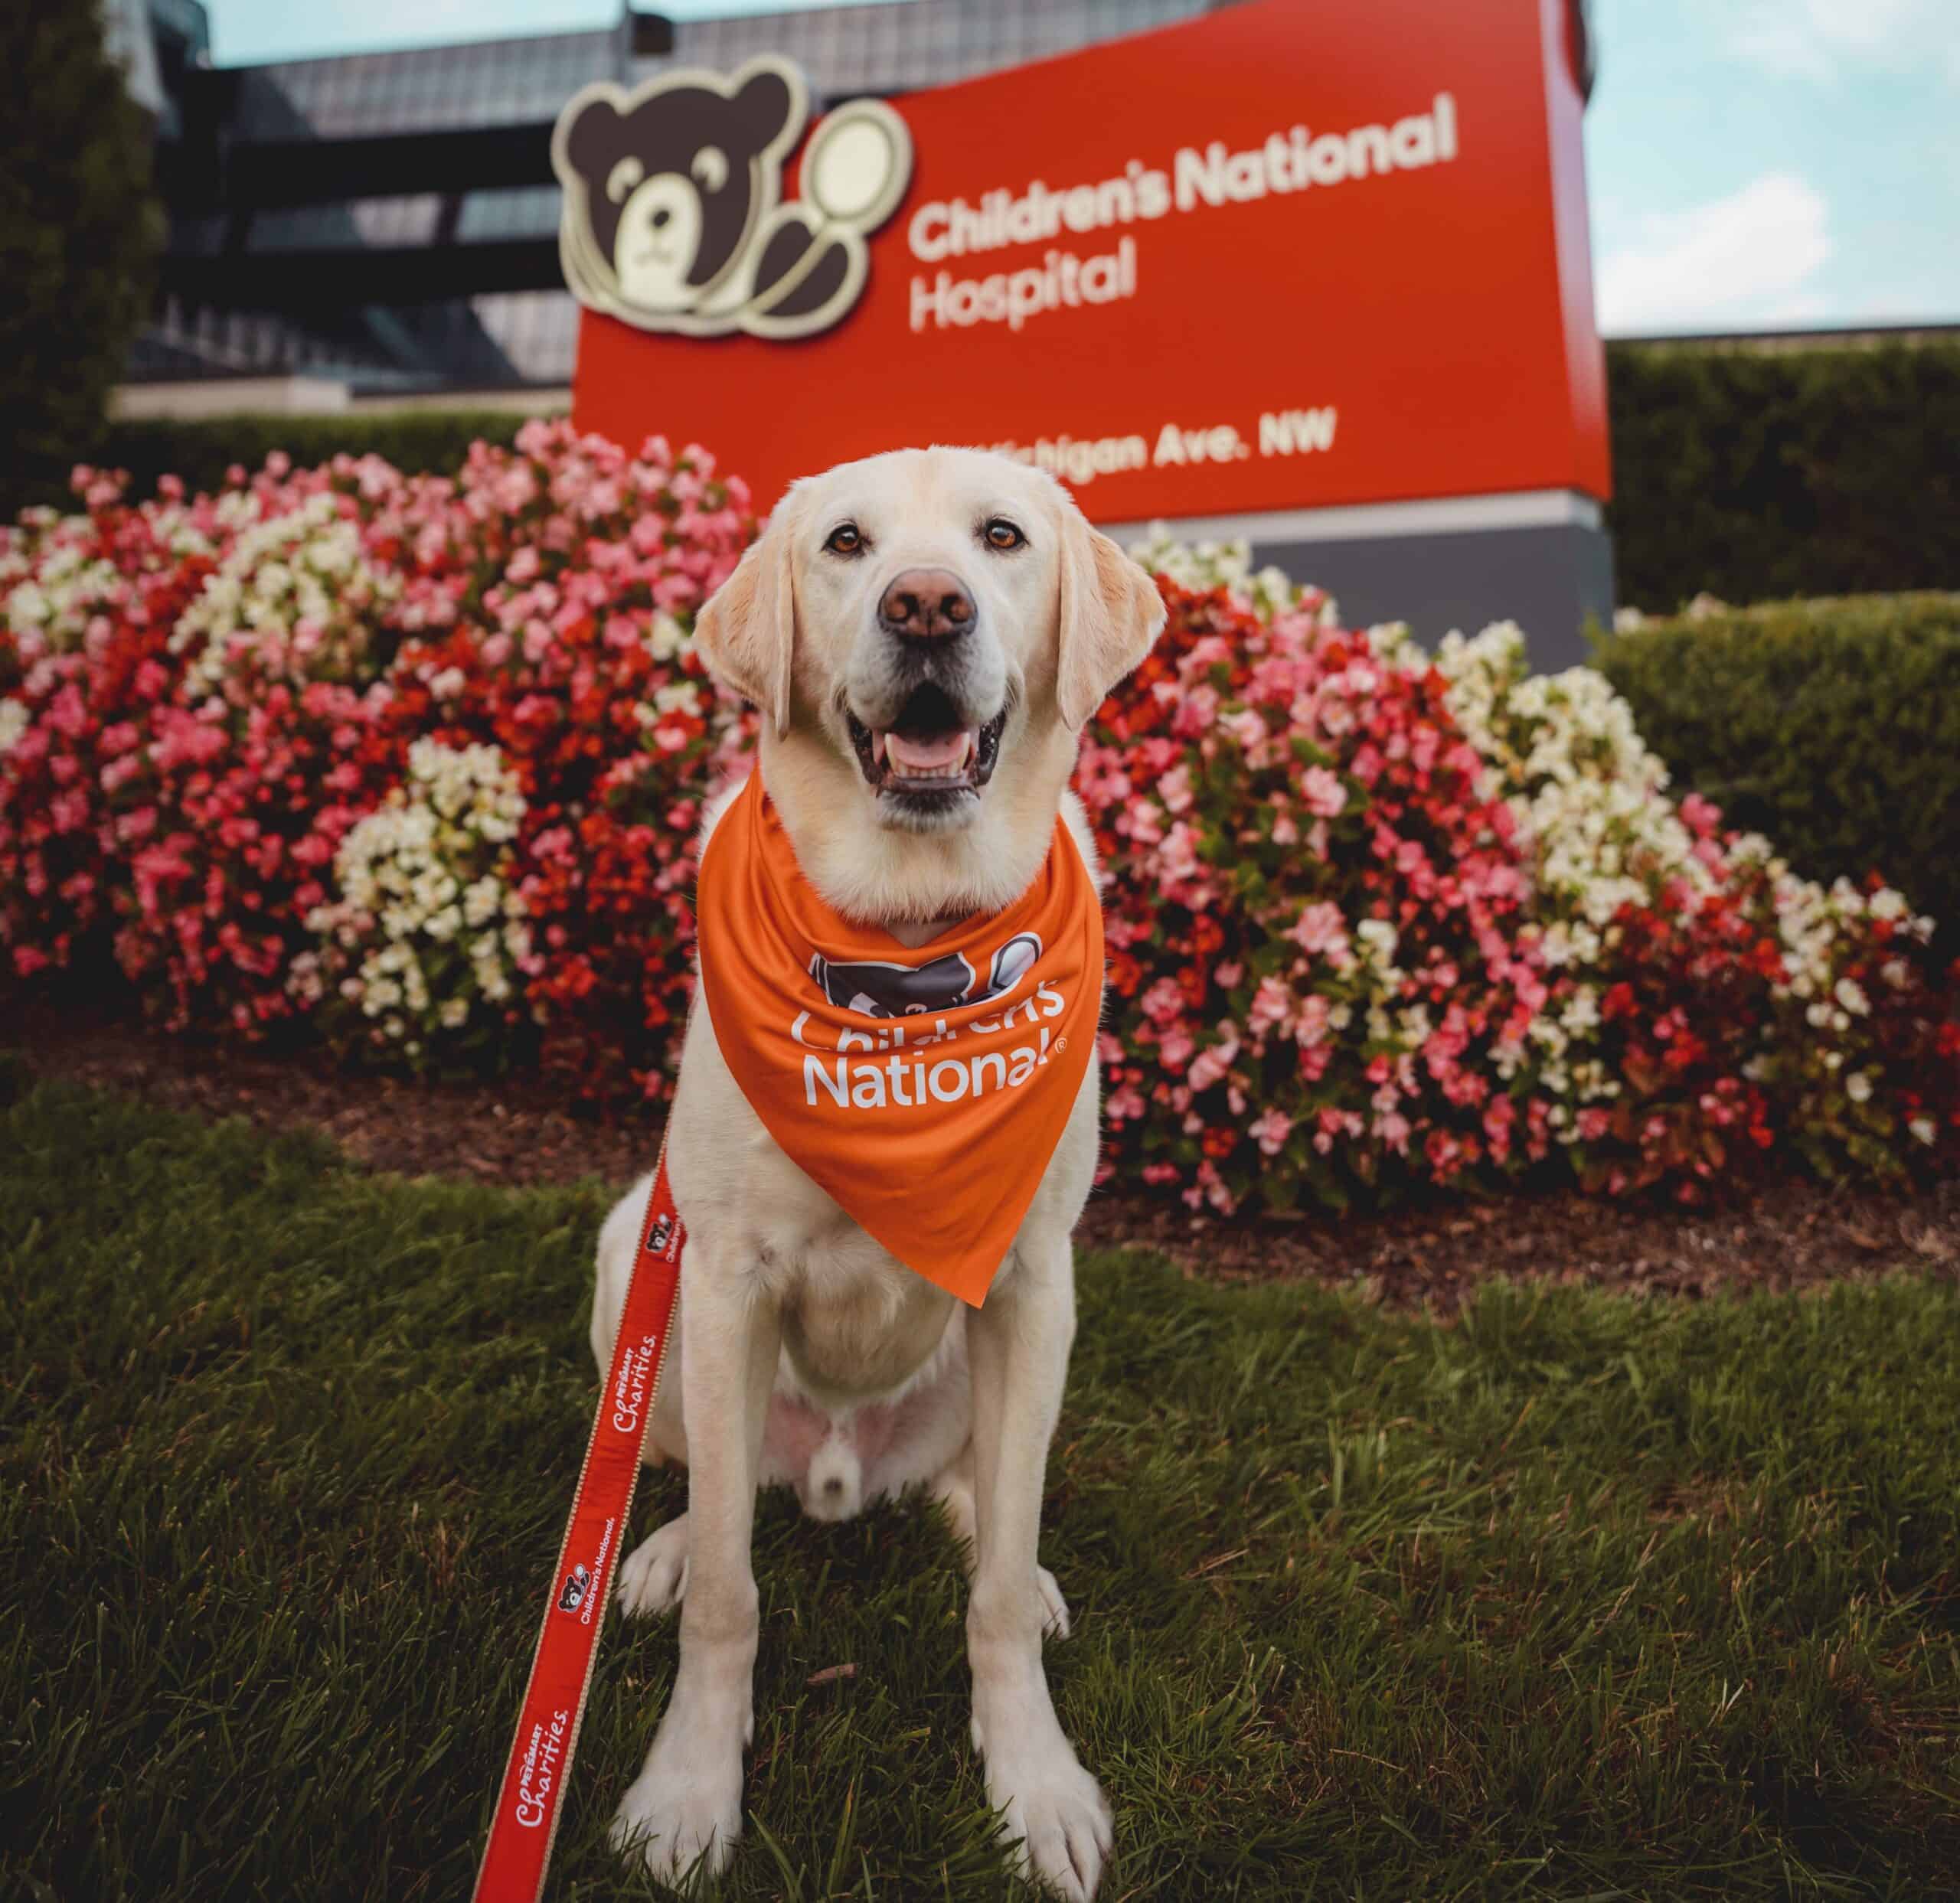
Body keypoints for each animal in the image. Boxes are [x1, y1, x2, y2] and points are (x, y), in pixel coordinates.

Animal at [588, 450, 1152, 1903]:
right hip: (634, 1260)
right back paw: (662, 1551)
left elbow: (993, 1590)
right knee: (704, 1488)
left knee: (987, 1495)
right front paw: (687, 1790)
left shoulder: (1032, 1276)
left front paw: (1034, 1784)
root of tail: (840, 1473)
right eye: (847, 544)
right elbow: (733, 1596)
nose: (927, 605)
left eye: (1001, 537)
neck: (910, 937)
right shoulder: (722, 1275)